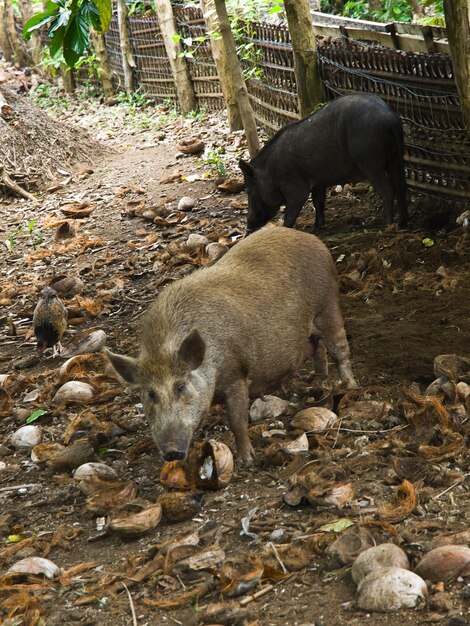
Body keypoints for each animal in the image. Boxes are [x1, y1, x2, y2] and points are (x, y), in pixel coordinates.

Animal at [106, 225, 356, 464]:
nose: (171, 452)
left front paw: (247, 460)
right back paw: (319, 379)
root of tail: (313, 239)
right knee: (319, 348)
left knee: (340, 350)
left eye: (181, 386)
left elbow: (237, 420)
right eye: (150, 394)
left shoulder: (236, 373)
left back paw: (350, 387)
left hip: (328, 307)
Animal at [239, 95, 408, 234]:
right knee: (400, 186)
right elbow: (318, 201)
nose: (247, 230)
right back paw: (402, 223)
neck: (270, 172)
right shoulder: (318, 183)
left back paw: (385, 226)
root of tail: (391, 119)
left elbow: (292, 211)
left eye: (248, 190)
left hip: (371, 162)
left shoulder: (295, 187)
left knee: (388, 189)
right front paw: (317, 228)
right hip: (395, 158)